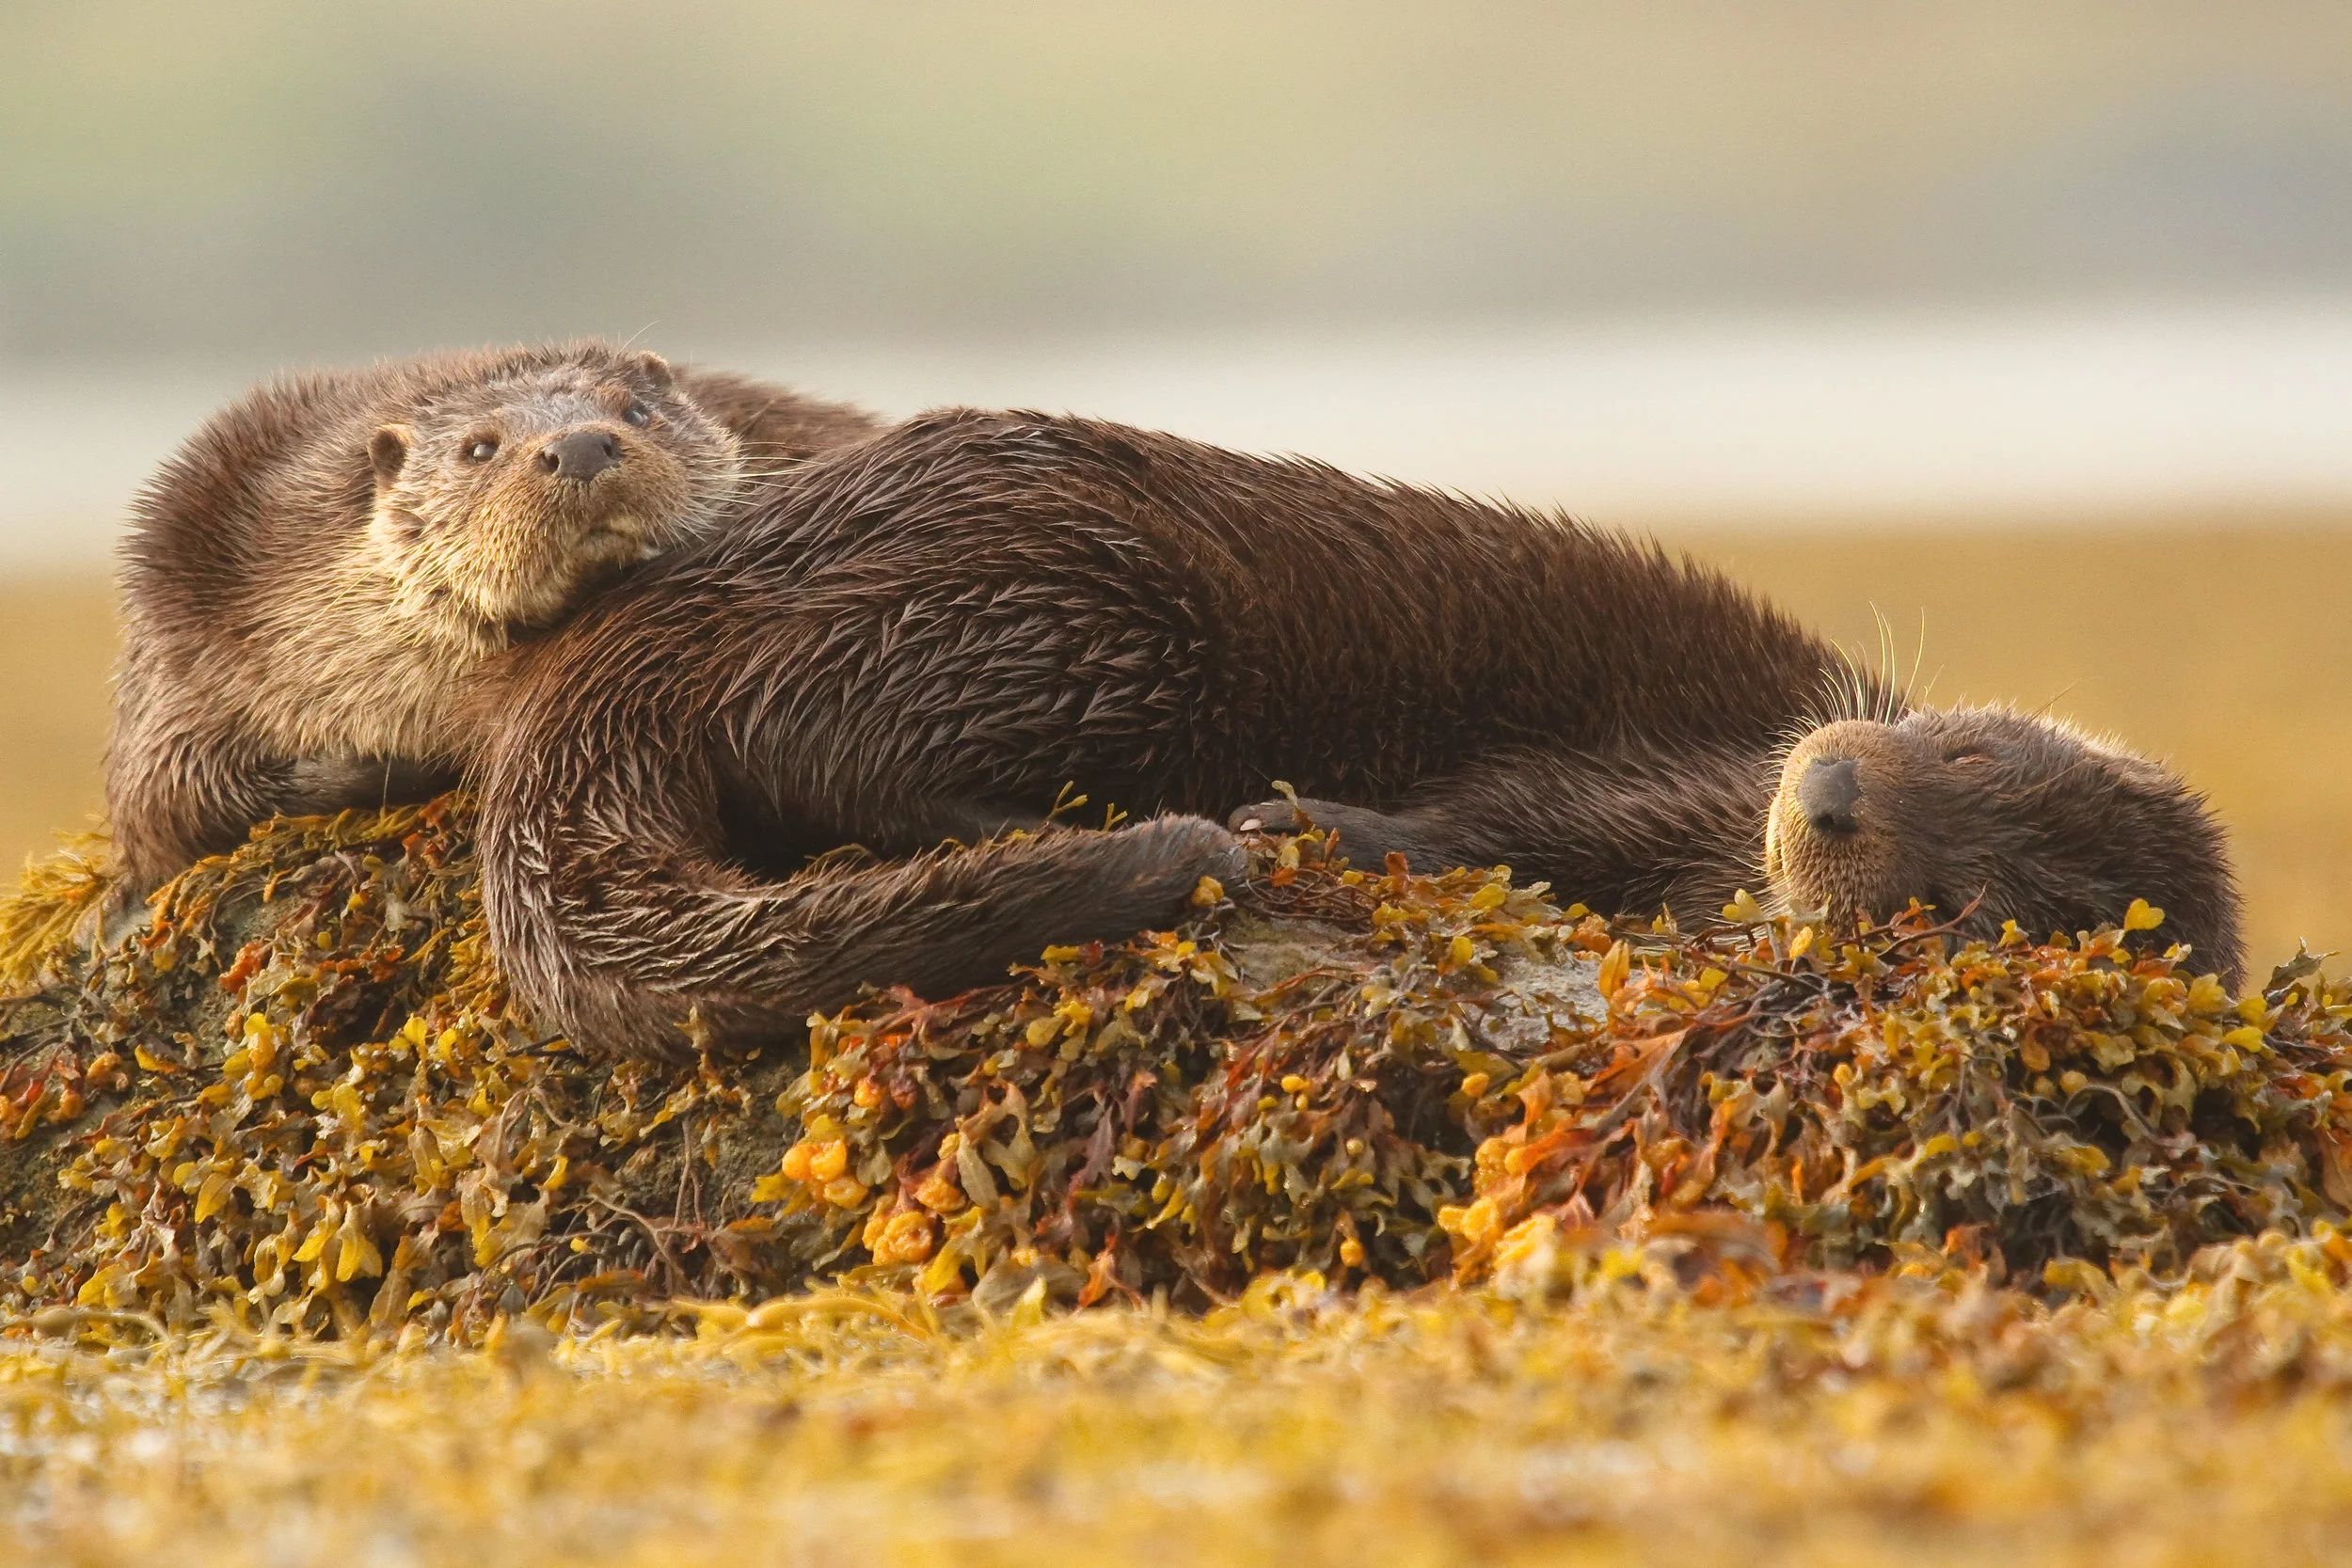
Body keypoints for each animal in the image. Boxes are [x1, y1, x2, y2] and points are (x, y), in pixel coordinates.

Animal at [465, 410, 2242, 1061]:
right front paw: (1300, 828)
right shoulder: (1648, 782)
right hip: (1090, 596)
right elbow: (1485, 821)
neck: (1712, 824)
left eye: (1959, 905)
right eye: (1967, 751)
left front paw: (1292, 827)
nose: (1835, 786)